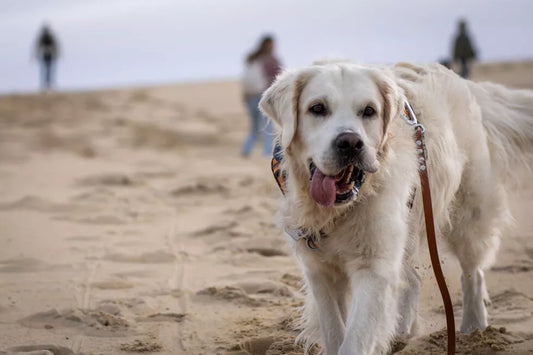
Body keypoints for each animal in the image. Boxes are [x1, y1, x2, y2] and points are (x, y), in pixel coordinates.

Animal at [258, 62, 532, 355]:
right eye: (317, 108)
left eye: (369, 111)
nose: (350, 143)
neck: (341, 210)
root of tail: (463, 81)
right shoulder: (319, 270)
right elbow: (333, 330)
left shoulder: (374, 265)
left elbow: (355, 339)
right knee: (413, 278)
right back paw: (403, 333)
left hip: (469, 211)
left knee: (473, 272)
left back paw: (474, 330)